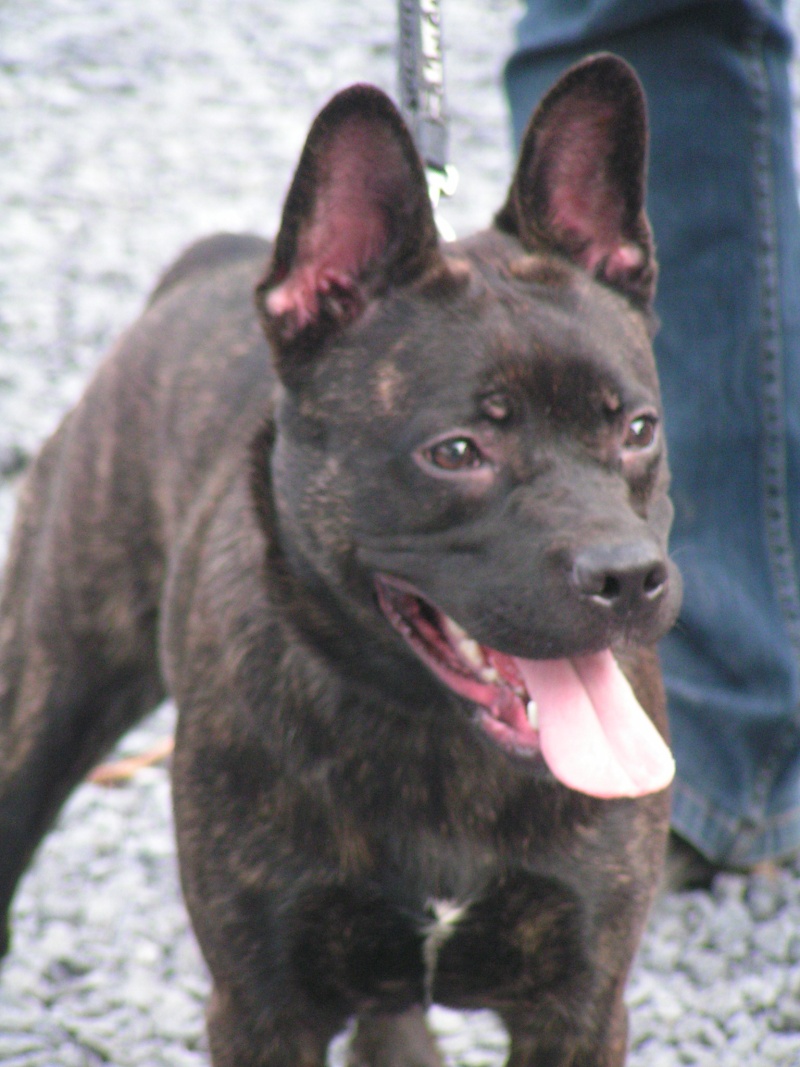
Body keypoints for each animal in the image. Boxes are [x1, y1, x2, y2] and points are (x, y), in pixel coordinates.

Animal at [0, 56, 682, 1067]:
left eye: (638, 430)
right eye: (455, 452)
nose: (628, 575)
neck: (437, 739)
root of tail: (207, 262)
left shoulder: (581, 1006)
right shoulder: (262, 1008)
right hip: (48, 694)